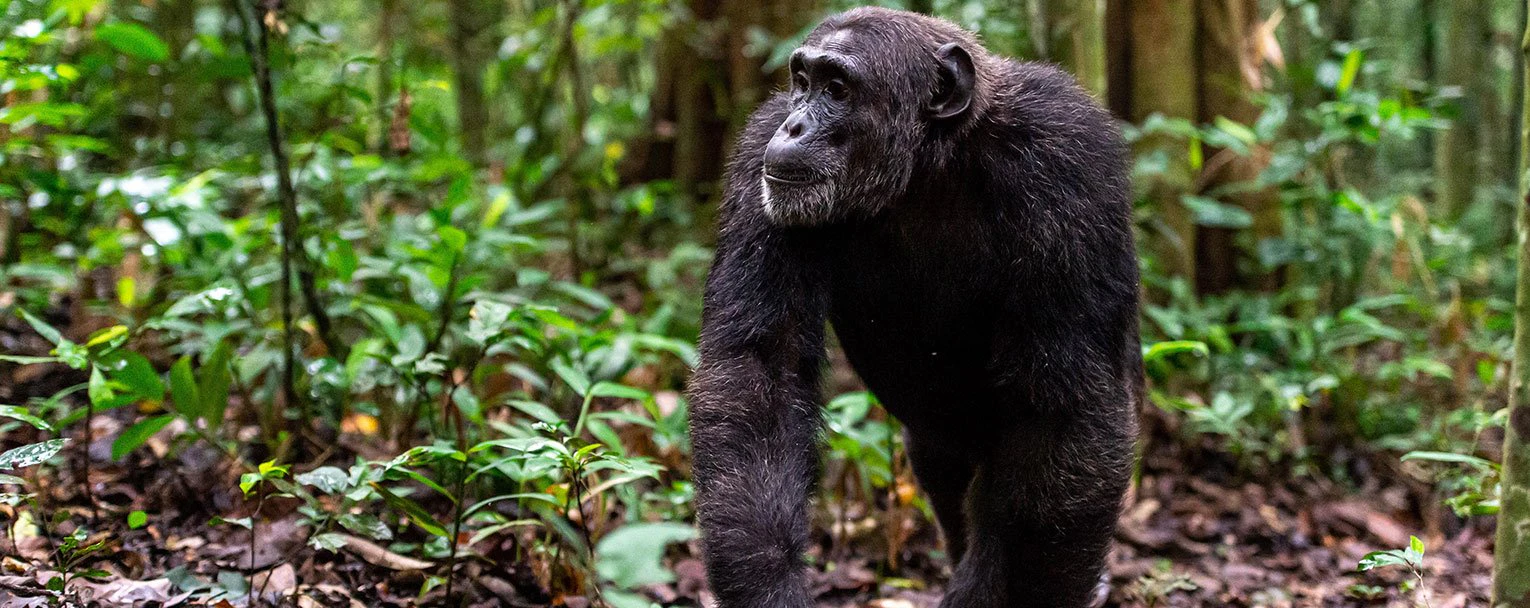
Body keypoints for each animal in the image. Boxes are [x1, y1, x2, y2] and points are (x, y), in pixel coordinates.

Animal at [687, 7, 1139, 608]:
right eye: (802, 82)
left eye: (838, 89)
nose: (795, 126)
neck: (926, 167)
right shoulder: (756, 157)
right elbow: (760, 371)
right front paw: (770, 588)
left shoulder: (1069, 160)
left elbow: (1065, 406)